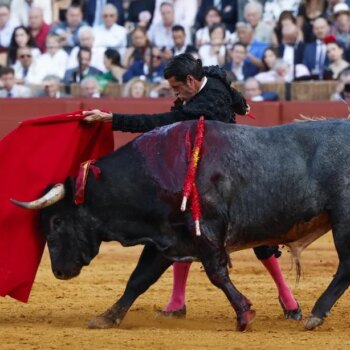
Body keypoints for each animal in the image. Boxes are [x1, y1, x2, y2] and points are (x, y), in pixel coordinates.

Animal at [12, 119, 350, 330]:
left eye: (57, 221)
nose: (59, 272)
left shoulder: (206, 230)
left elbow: (217, 273)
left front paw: (244, 315)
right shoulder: (166, 237)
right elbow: (138, 279)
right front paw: (107, 318)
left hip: (343, 219)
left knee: (344, 267)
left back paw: (315, 314)